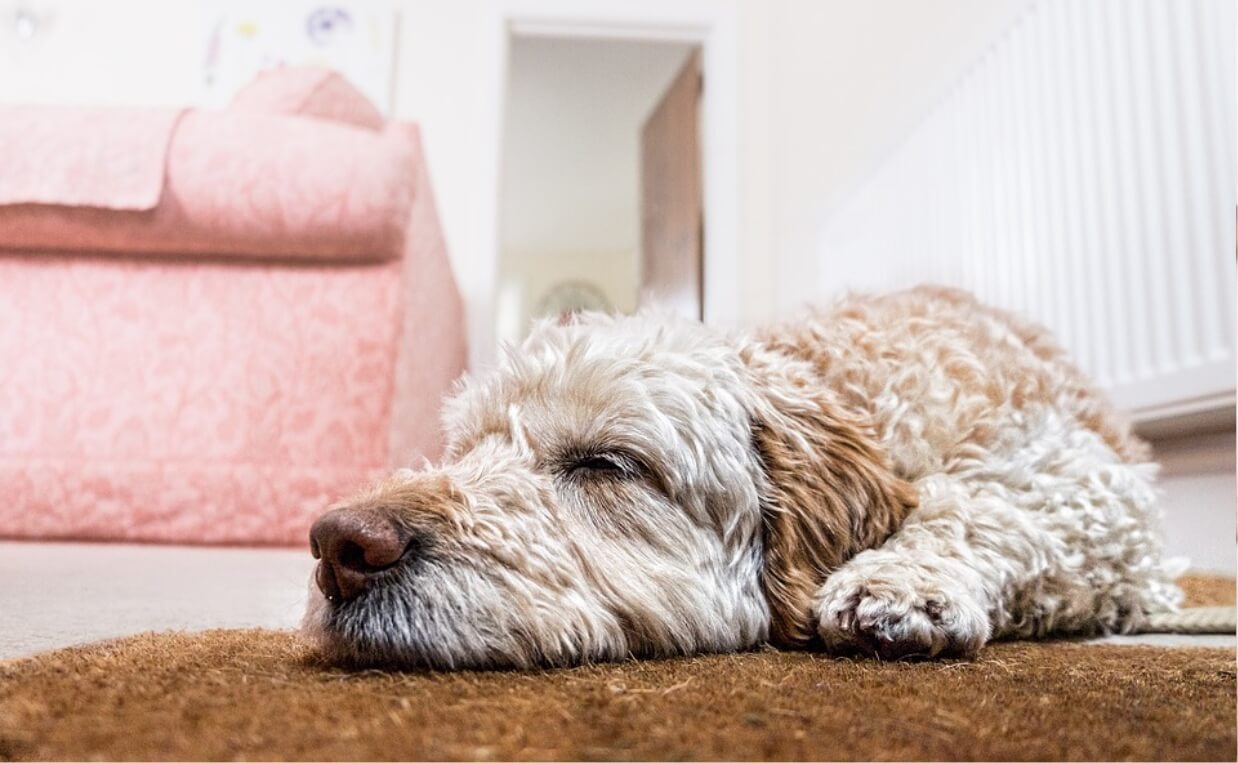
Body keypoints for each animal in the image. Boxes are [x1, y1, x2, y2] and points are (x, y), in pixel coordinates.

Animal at [299, 284, 1178, 668]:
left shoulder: (1086, 481)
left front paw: (904, 578)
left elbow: (980, 503)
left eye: (605, 464)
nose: (338, 544)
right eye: (463, 451)